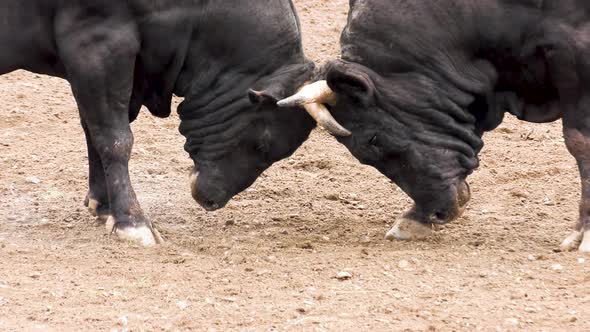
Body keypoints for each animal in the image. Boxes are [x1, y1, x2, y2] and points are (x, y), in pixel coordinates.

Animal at [1, 0, 324, 246]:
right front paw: (131, 221)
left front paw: (104, 205)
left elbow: (93, 129)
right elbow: (114, 139)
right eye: (262, 145)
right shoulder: (98, 48)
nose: (211, 200)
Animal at [280, 0, 588, 250]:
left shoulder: (574, 55)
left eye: (373, 142)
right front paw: (414, 218)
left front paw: (583, 234)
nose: (437, 213)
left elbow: (579, 142)